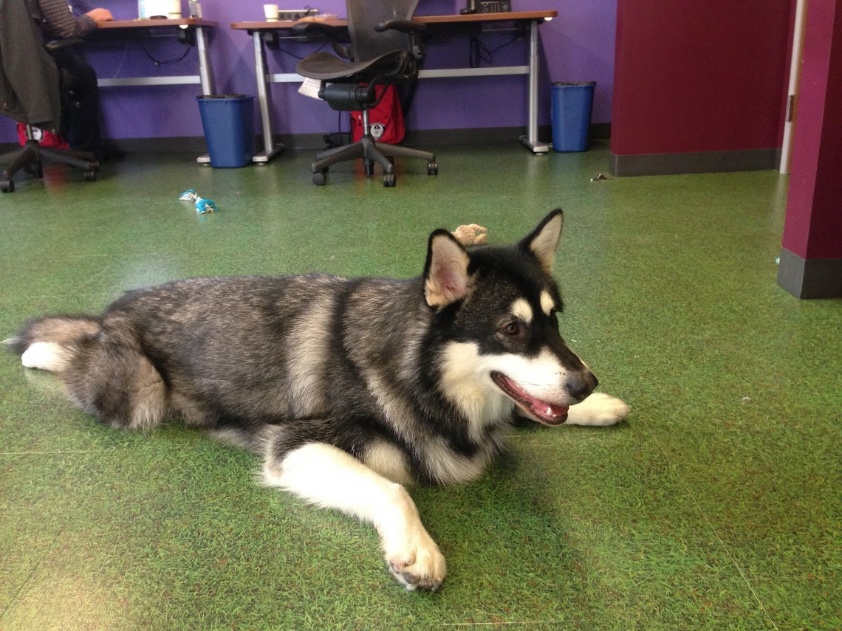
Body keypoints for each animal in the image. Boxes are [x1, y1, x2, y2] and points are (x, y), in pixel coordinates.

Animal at [7, 209, 628, 591]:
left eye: (555, 319)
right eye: (511, 330)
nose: (584, 381)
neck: (417, 373)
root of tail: (115, 306)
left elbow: (529, 408)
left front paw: (598, 406)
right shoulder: (297, 444)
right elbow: (394, 489)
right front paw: (415, 548)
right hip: (138, 390)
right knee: (83, 355)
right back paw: (41, 351)